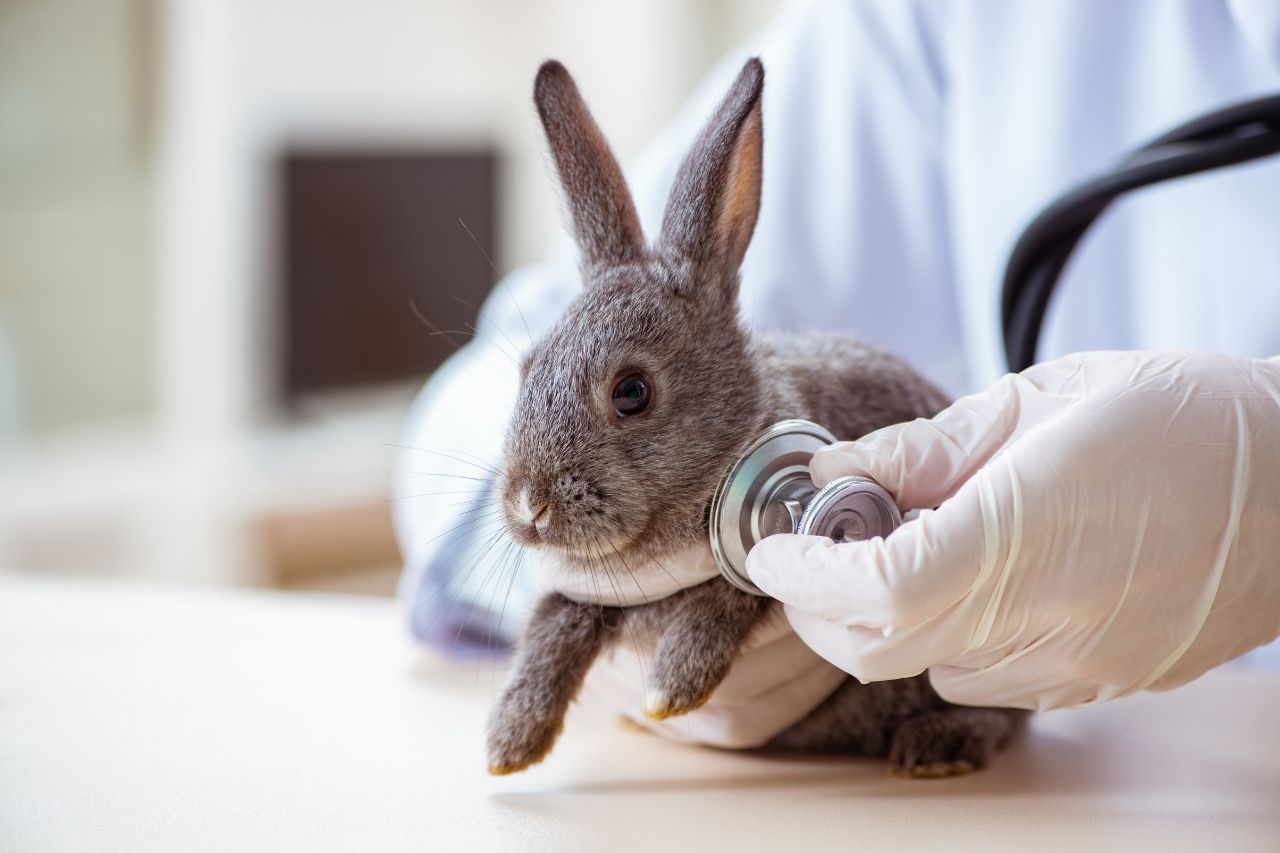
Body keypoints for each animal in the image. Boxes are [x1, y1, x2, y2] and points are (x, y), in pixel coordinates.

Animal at [486, 57, 1026, 778]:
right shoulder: (583, 595)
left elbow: (739, 592)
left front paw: (672, 686)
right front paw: (509, 741)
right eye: (526, 368)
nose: (528, 505)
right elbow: (554, 622)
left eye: (631, 392)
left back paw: (937, 745)